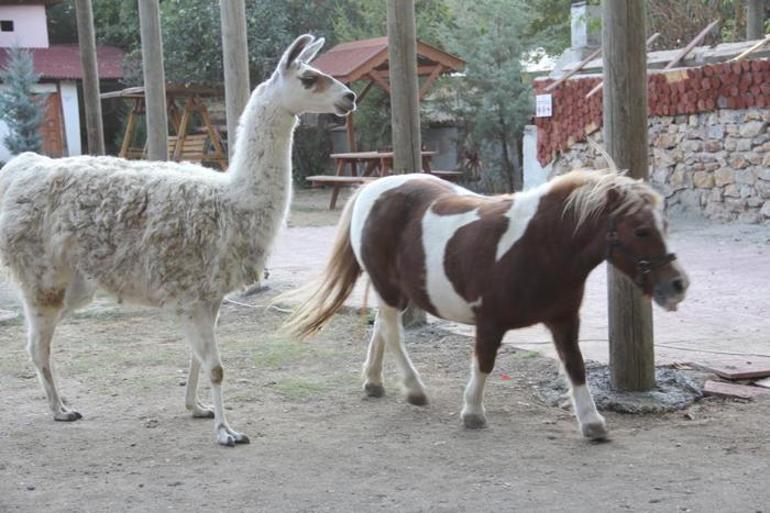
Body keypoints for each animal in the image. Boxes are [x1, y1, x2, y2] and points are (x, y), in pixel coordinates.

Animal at [284, 170, 688, 438]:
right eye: (640, 230)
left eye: (664, 225)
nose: (678, 284)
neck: (540, 245)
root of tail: (372, 188)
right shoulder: (490, 321)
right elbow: (485, 362)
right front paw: (473, 412)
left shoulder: (564, 320)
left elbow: (576, 366)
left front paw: (592, 422)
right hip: (388, 288)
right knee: (393, 335)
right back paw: (413, 389)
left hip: (396, 292)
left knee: (382, 330)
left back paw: (373, 381)